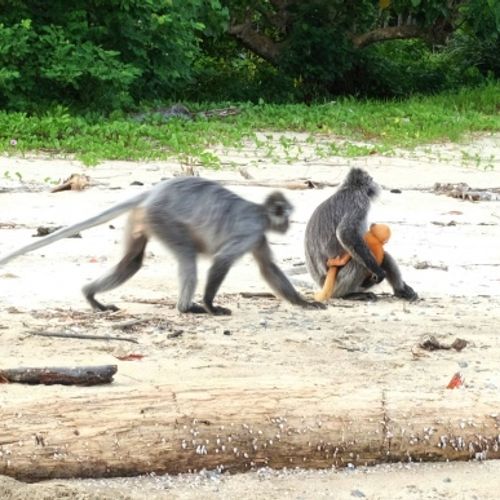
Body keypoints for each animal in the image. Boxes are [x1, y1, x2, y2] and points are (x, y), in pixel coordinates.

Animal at [0, 178, 324, 314]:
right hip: (163, 218)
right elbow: (221, 261)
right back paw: (187, 308)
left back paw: (91, 296)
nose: (288, 225)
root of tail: (154, 192)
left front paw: (303, 302)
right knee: (188, 259)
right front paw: (210, 305)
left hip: (144, 219)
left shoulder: (258, 235)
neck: (260, 213)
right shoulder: (250, 230)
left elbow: (268, 267)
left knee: (132, 261)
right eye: (287, 215)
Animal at [304, 168, 418, 300]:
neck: (349, 189)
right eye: (372, 179)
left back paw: (400, 291)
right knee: (361, 263)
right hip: (337, 281)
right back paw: (348, 295)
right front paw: (379, 272)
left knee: (384, 257)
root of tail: (321, 285)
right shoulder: (359, 201)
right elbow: (345, 233)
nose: (376, 183)